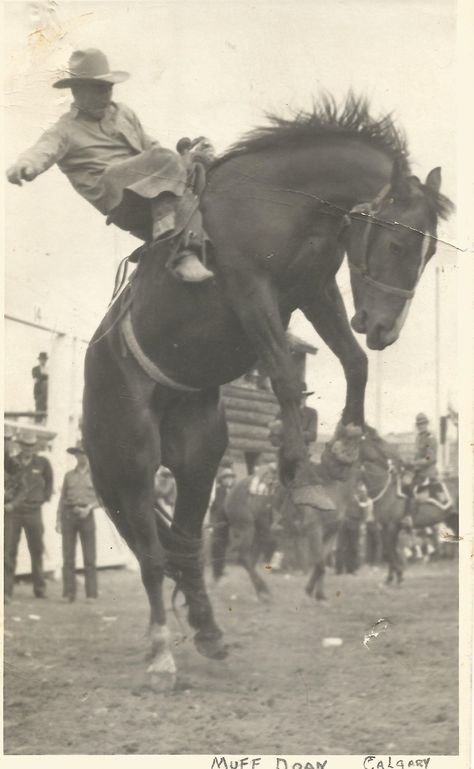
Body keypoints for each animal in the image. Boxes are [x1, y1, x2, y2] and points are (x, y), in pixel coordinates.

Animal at [83, 93, 454, 688]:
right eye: (398, 242)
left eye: (428, 255)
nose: (385, 330)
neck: (280, 199)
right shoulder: (249, 291)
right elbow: (283, 372)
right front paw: (302, 475)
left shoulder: (315, 287)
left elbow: (353, 363)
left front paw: (342, 445)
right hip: (128, 466)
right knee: (153, 556)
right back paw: (162, 652)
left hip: (198, 461)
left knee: (184, 546)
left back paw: (208, 631)